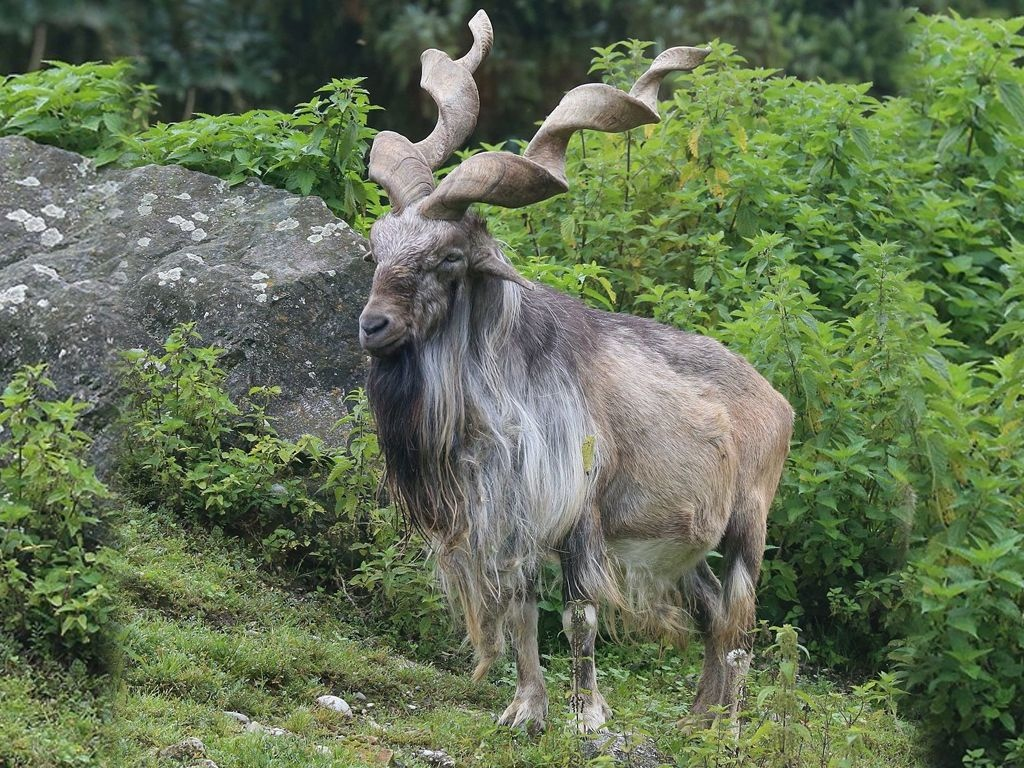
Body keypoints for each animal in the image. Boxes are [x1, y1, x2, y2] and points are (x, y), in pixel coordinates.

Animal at [356, 10, 794, 733]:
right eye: (376, 249)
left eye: (449, 258)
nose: (374, 326)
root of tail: (777, 401)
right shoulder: (515, 523)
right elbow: (522, 613)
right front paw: (524, 711)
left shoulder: (581, 515)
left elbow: (578, 617)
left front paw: (588, 719)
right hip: (680, 543)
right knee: (709, 613)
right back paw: (697, 719)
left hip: (748, 524)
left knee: (738, 624)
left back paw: (727, 728)